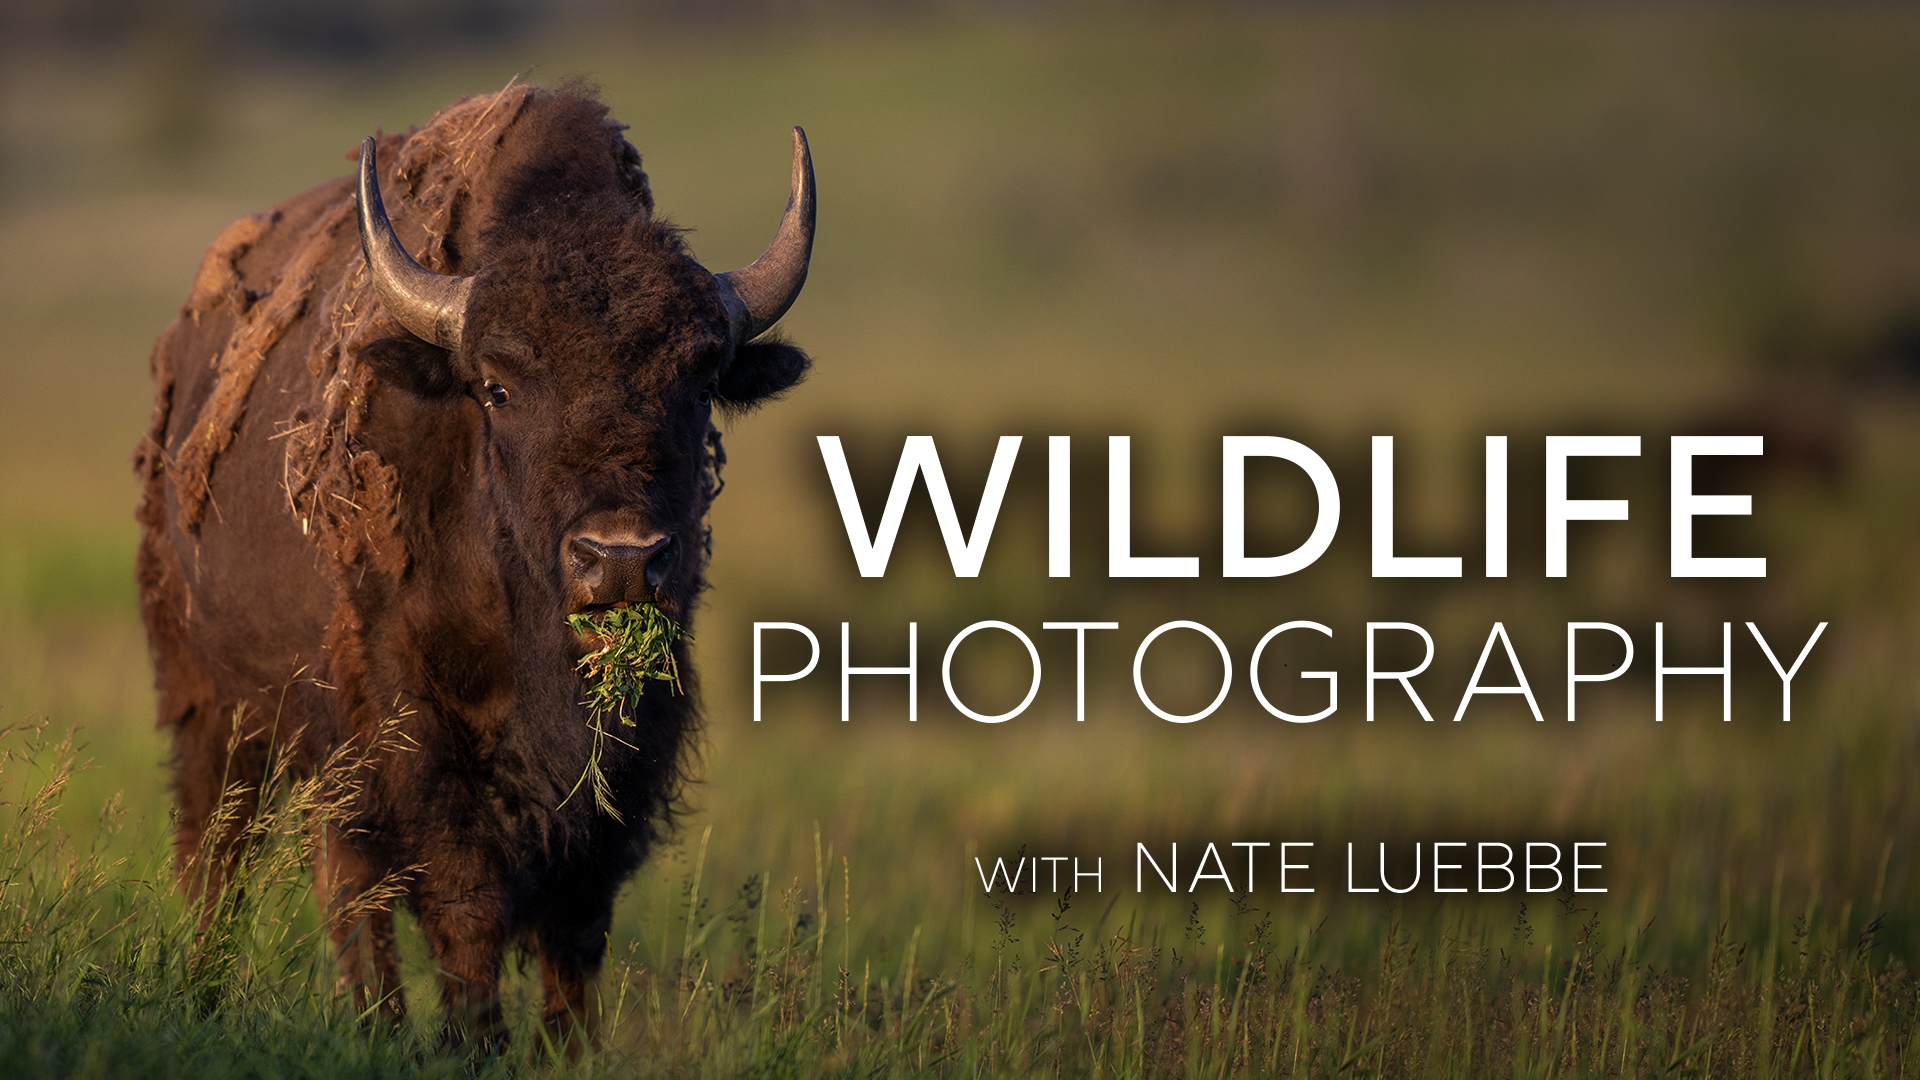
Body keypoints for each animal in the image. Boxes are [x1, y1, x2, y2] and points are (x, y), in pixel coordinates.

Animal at [133, 84, 810, 1037]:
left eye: (699, 382)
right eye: (497, 387)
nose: (620, 559)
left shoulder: (630, 750)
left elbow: (575, 925)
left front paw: (565, 1046)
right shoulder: (411, 730)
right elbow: (466, 903)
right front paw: (470, 1042)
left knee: (341, 879)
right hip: (208, 703)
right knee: (224, 859)